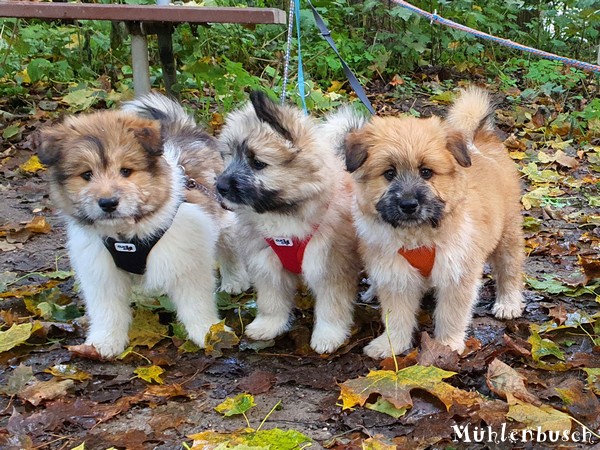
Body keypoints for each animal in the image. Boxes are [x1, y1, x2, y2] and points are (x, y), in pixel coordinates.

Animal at [37, 94, 248, 358]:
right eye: (86, 174)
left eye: (126, 171)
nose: (108, 203)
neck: (128, 235)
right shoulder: (100, 269)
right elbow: (106, 308)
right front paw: (105, 341)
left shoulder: (187, 259)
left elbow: (196, 302)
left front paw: (209, 333)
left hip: (224, 216)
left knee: (230, 245)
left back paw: (235, 280)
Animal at [217, 90, 366, 352]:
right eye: (229, 156)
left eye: (258, 163)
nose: (220, 186)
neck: (283, 213)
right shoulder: (266, 263)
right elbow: (272, 301)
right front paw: (269, 326)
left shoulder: (330, 266)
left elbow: (331, 307)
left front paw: (328, 335)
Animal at [344, 88, 524, 356]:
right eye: (389, 173)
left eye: (426, 172)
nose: (408, 205)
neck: (419, 235)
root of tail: (481, 137)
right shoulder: (396, 275)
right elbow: (397, 316)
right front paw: (391, 344)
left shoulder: (456, 273)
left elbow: (451, 314)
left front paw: (445, 345)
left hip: (507, 234)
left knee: (509, 268)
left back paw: (508, 302)